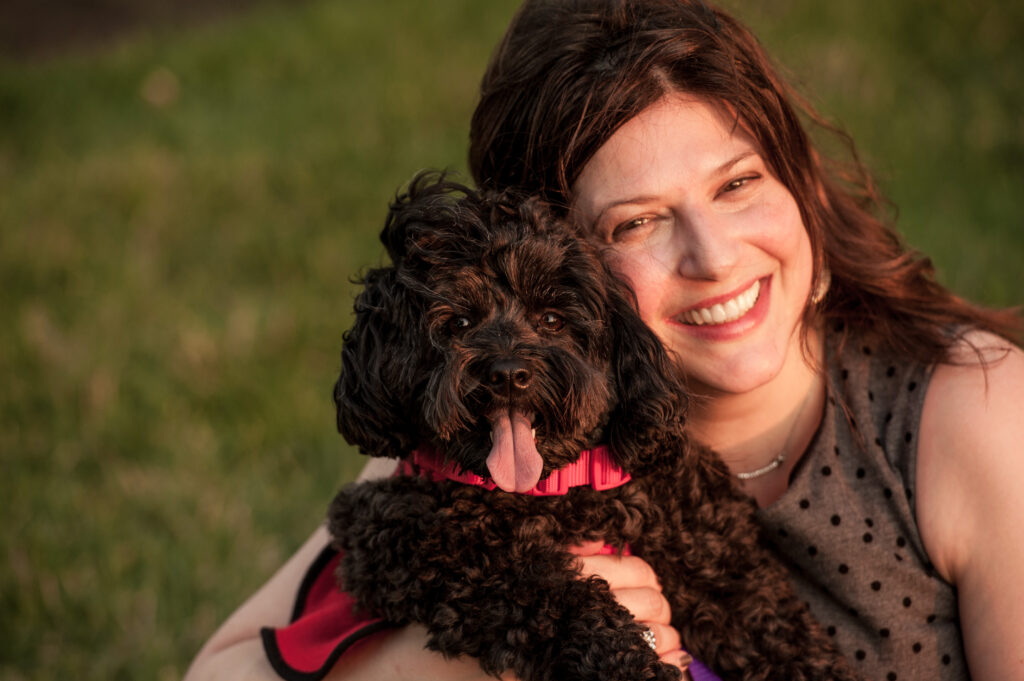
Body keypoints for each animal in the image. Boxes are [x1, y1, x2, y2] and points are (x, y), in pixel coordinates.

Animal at [327, 173, 856, 675]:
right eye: (457, 323)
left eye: (552, 318)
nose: (508, 374)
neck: (558, 490)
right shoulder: (405, 539)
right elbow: (551, 596)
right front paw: (630, 662)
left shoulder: (718, 560)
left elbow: (771, 623)